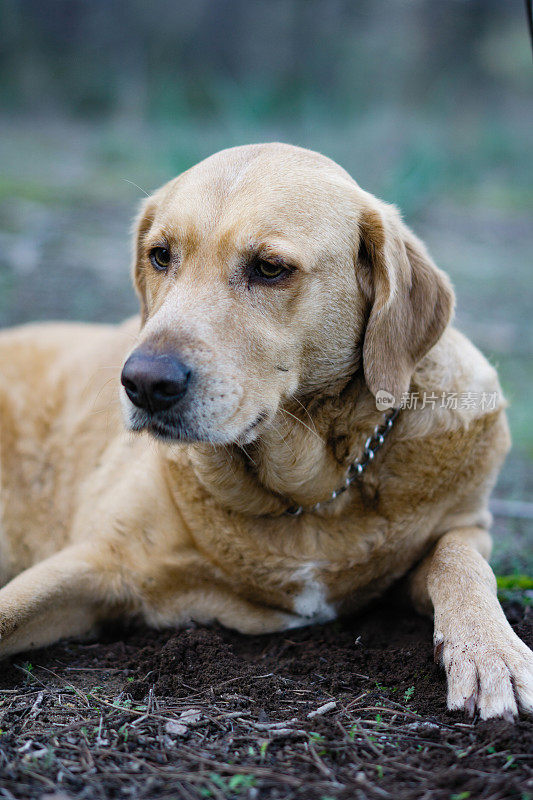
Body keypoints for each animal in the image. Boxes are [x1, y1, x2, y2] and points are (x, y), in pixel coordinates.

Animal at [0, 141, 528, 720]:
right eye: (160, 256)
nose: (144, 383)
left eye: (270, 268)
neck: (308, 498)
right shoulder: (96, 561)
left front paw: (490, 651)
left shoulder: (467, 523)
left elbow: (460, 563)